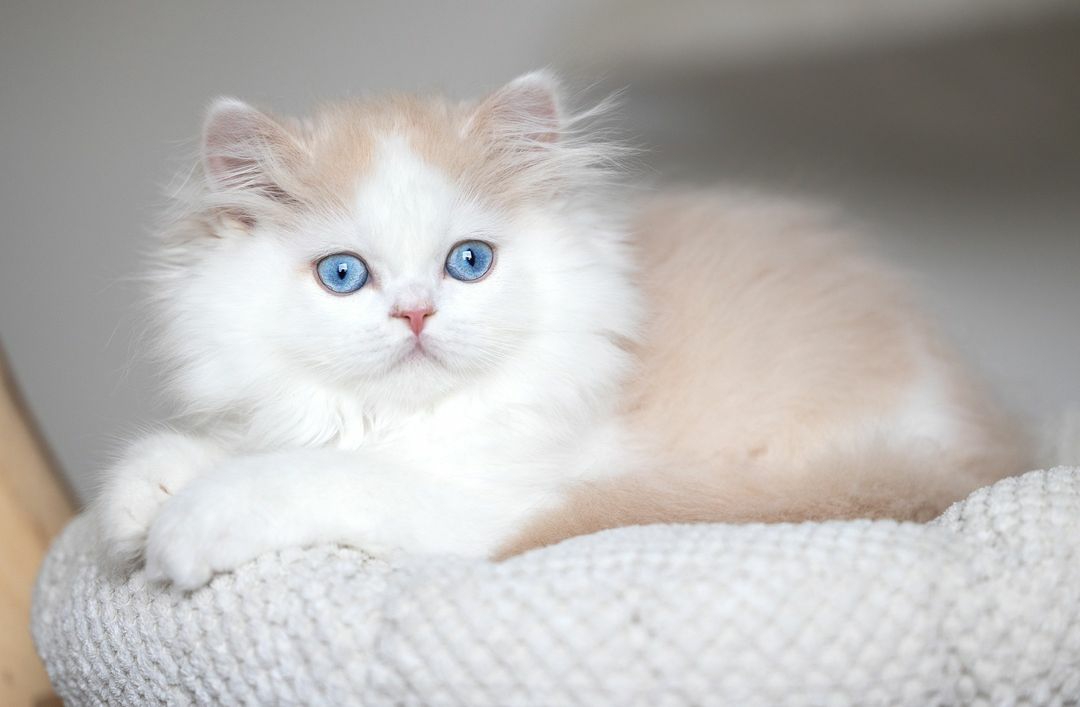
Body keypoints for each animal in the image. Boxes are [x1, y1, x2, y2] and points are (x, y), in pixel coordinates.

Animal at [95, 73, 1028, 591]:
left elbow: (308, 475)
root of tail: (990, 446)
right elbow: (220, 446)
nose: (416, 313)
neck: (400, 420)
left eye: (469, 261)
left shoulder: (482, 498)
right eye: (344, 275)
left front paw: (184, 528)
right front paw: (135, 501)